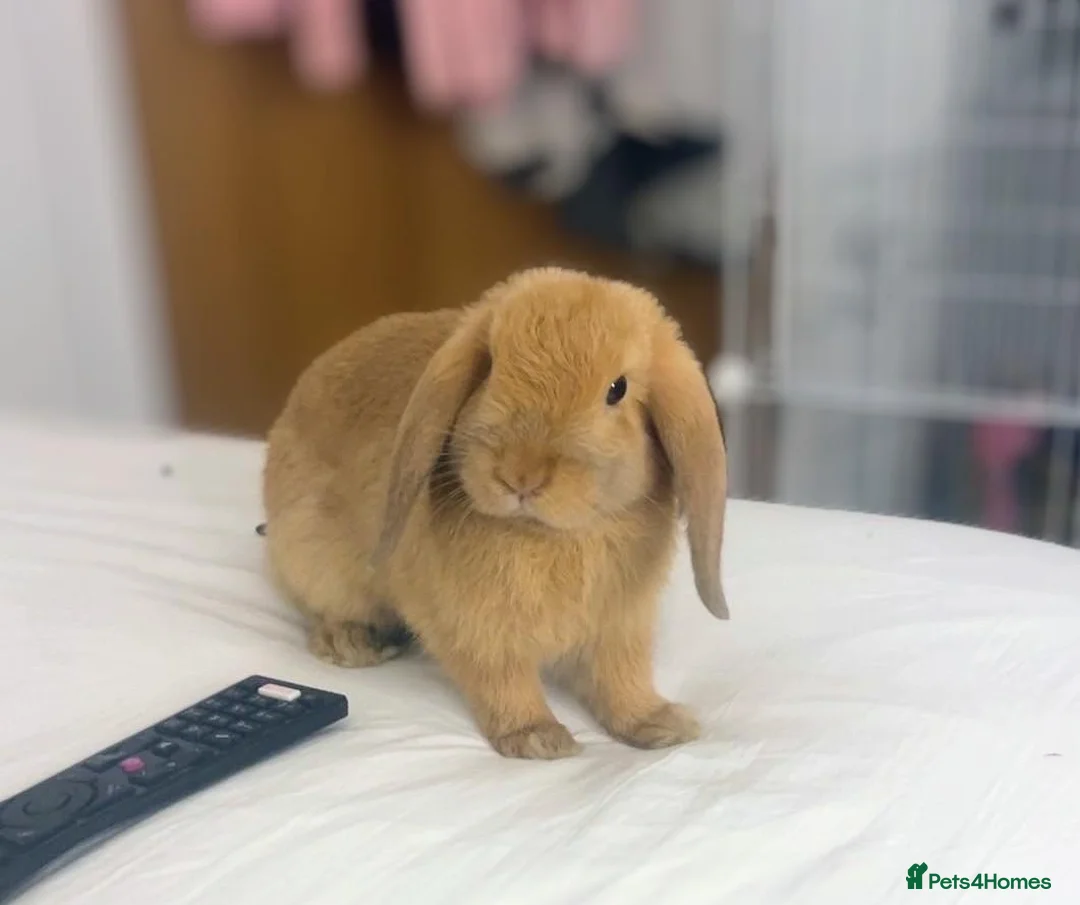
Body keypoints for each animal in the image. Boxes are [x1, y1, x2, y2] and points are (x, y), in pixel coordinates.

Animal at [262, 266, 729, 759]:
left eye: (617, 390)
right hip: (314, 560)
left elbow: (622, 677)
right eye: (490, 368)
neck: (546, 533)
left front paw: (661, 725)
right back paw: (353, 643)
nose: (520, 475)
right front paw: (539, 738)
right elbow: (503, 678)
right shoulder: (475, 628)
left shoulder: (621, 625)